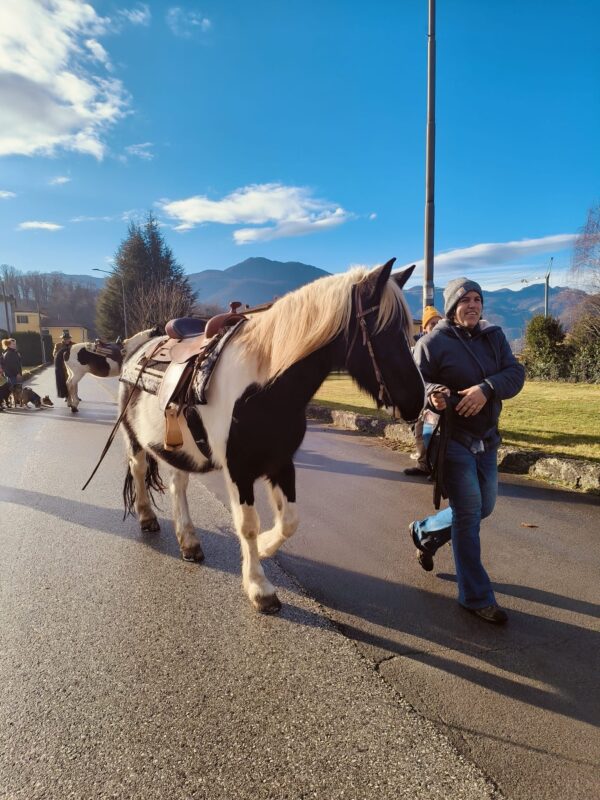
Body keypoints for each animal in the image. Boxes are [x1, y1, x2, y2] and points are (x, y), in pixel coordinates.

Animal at [119, 259, 425, 613]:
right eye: (384, 331)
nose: (417, 401)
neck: (263, 388)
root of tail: (138, 344)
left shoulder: (281, 462)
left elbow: (289, 520)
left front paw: (265, 547)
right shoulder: (239, 469)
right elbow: (247, 524)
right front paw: (259, 586)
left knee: (177, 483)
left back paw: (190, 541)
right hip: (133, 437)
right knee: (140, 469)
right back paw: (146, 517)